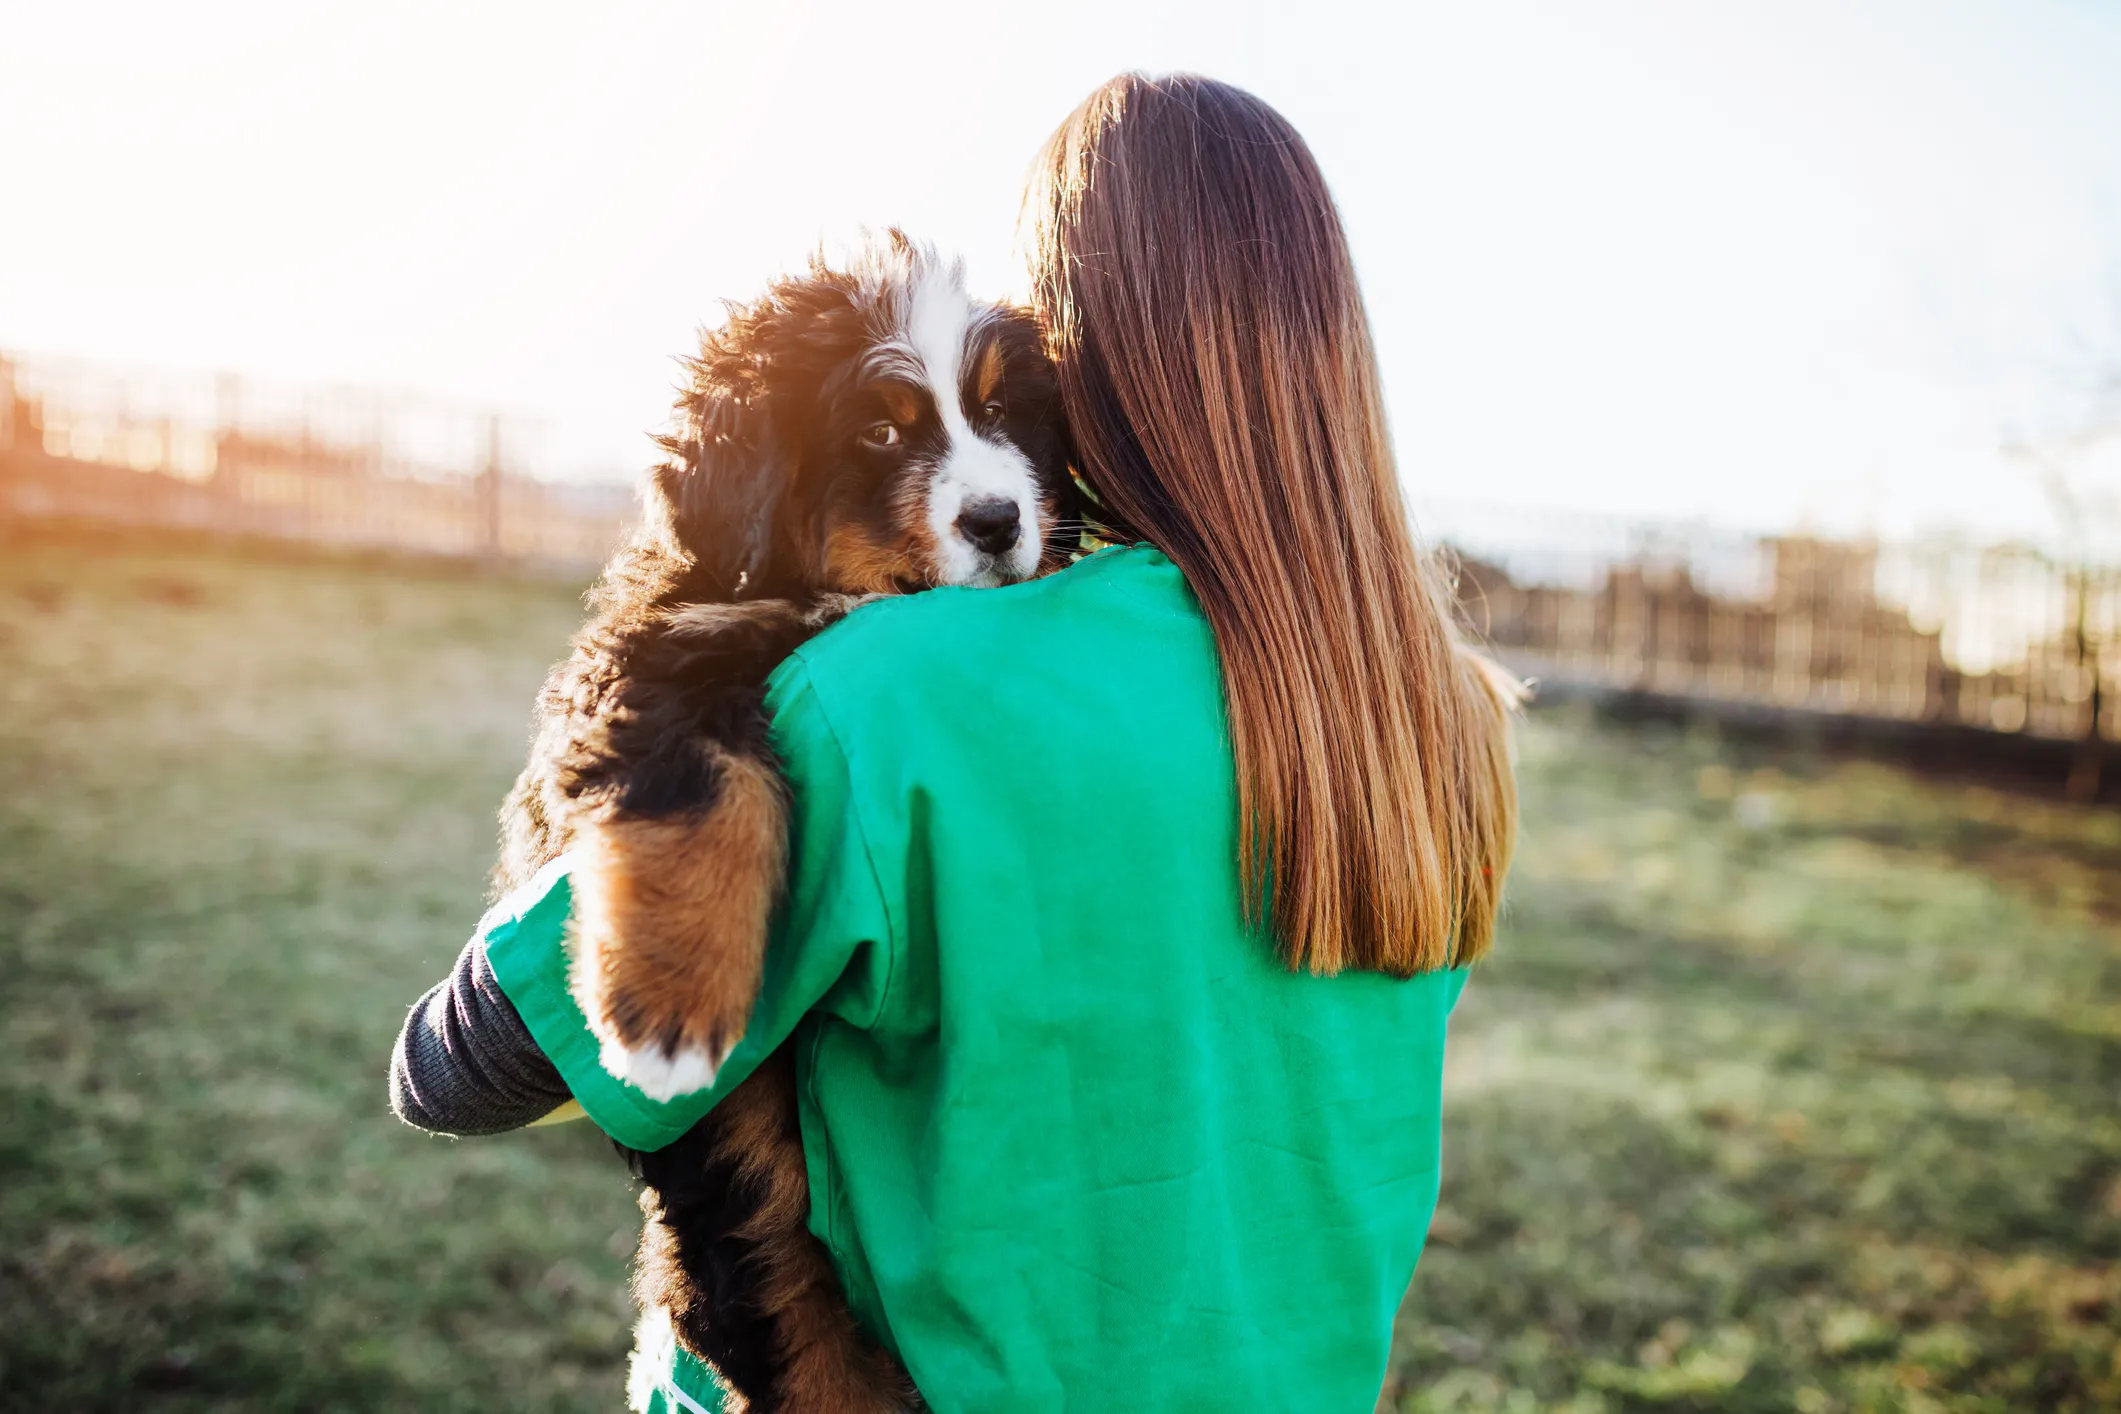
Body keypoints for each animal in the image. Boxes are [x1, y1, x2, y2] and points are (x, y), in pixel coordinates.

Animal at [496, 235, 1077, 1414]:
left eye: (1003, 415)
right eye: (880, 431)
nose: (1000, 521)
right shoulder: (660, 655)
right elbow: (704, 782)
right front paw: (667, 1016)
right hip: (753, 1192)